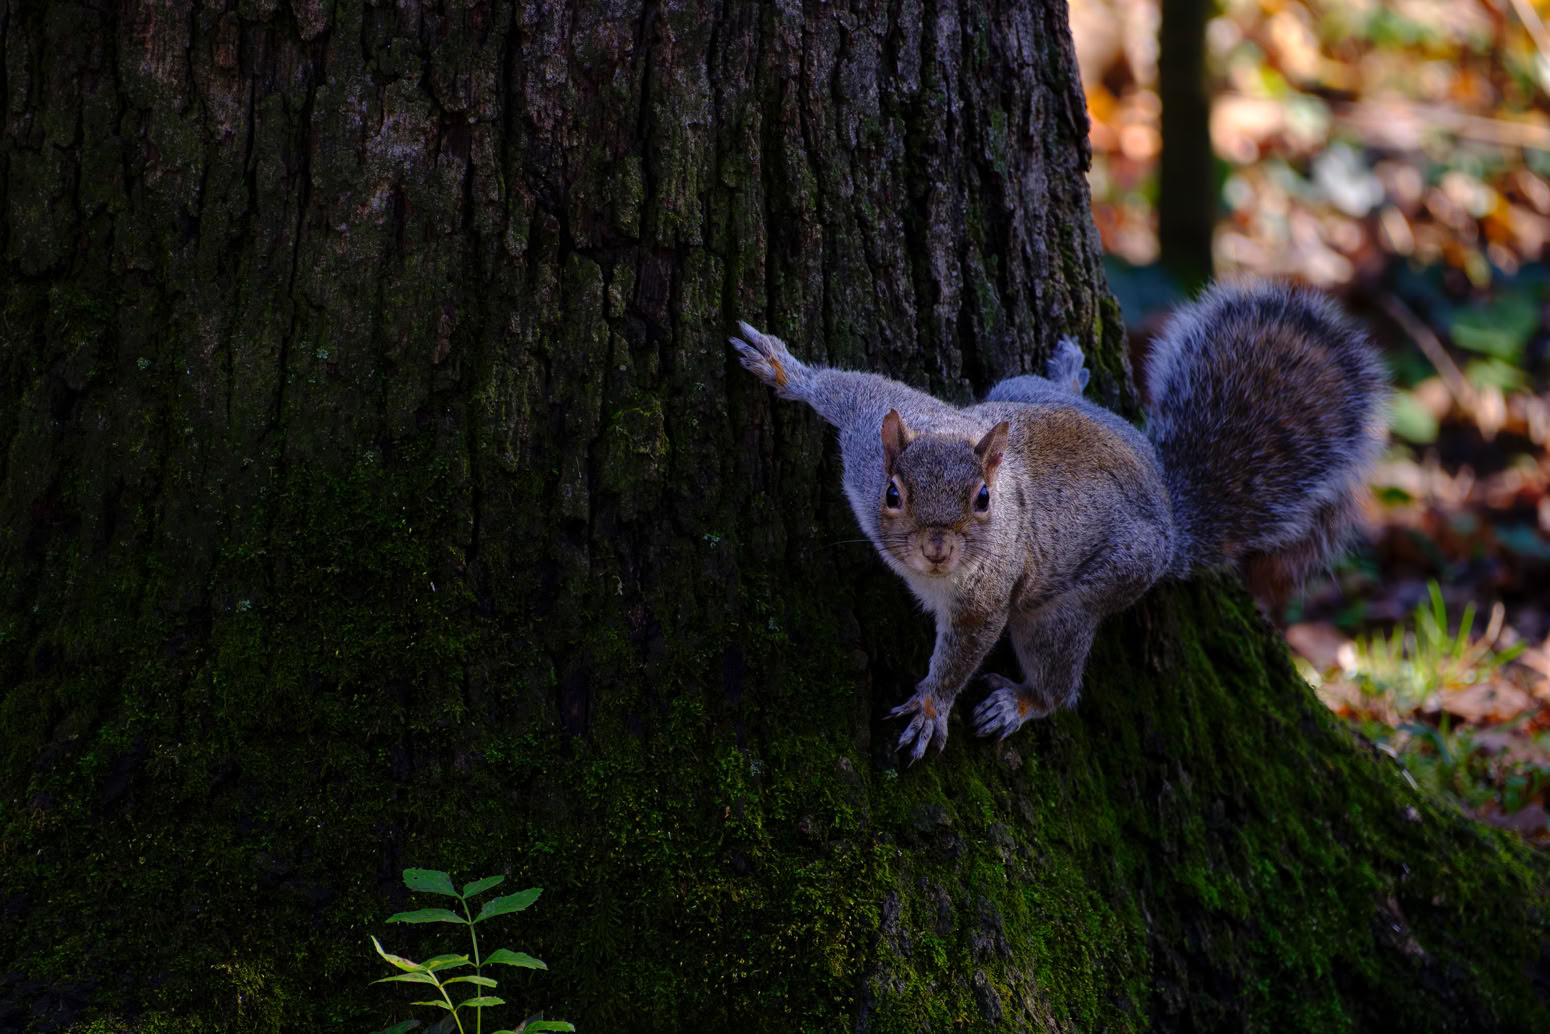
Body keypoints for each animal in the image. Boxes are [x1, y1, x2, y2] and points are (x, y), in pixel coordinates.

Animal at [730, 282, 1387, 763]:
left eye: (983, 499)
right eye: (893, 494)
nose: (937, 549)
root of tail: (1168, 511)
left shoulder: (987, 593)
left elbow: (966, 649)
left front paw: (932, 707)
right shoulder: (871, 437)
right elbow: (846, 386)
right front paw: (784, 370)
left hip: (1078, 598)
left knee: (1058, 679)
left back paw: (1022, 703)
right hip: (1018, 390)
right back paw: (1068, 371)